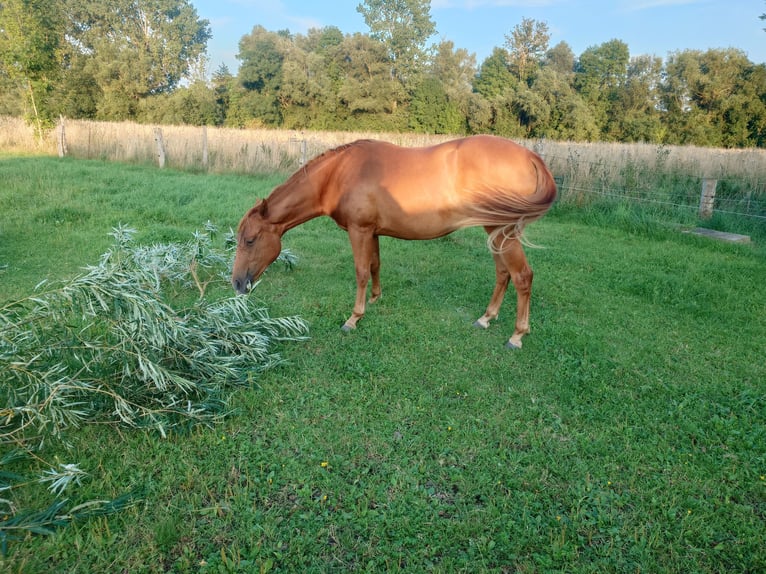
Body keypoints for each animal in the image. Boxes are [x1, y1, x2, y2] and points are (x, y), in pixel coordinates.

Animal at [232, 135, 557, 349]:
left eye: (250, 240)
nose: (236, 283)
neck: (338, 175)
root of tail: (530, 157)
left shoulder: (359, 231)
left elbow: (361, 272)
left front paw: (354, 318)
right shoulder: (372, 232)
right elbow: (375, 265)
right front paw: (375, 299)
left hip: (502, 231)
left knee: (522, 276)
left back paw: (517, 335)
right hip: (495, 230)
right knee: (503, 273)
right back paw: (486, 318)